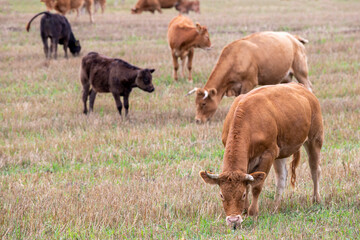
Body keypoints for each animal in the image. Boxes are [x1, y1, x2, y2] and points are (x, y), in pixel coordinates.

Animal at [200, 83, 324, 230]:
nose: (233, 220)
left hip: (315, 139)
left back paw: (316, 199)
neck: (247, 119)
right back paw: (276, 207)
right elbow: (249, 183)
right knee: (282, 177)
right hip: (281, 152)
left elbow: (256, 186)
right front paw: (245, 210)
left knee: (315, 169)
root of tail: (301, 87)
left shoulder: (268, 154)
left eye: (242, 195)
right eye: (221, 195)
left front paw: (253, 212)